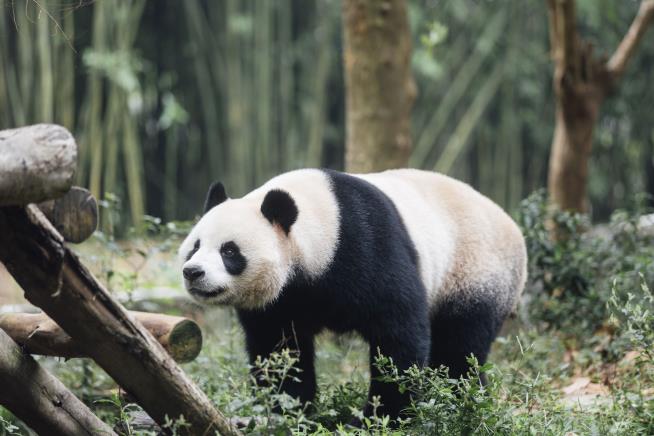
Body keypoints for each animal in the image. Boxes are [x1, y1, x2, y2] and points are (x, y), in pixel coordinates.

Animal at [178, 169, 528, 420]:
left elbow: (399, 334)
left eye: (229, 251)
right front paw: (287, 410)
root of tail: (514, 228)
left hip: (474, 272)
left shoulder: (367, 247)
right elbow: (279, 349)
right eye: (195, 246)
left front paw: (380, 417)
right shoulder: (280, 302)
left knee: (459, 347)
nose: (193, 272)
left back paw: (459, 401)